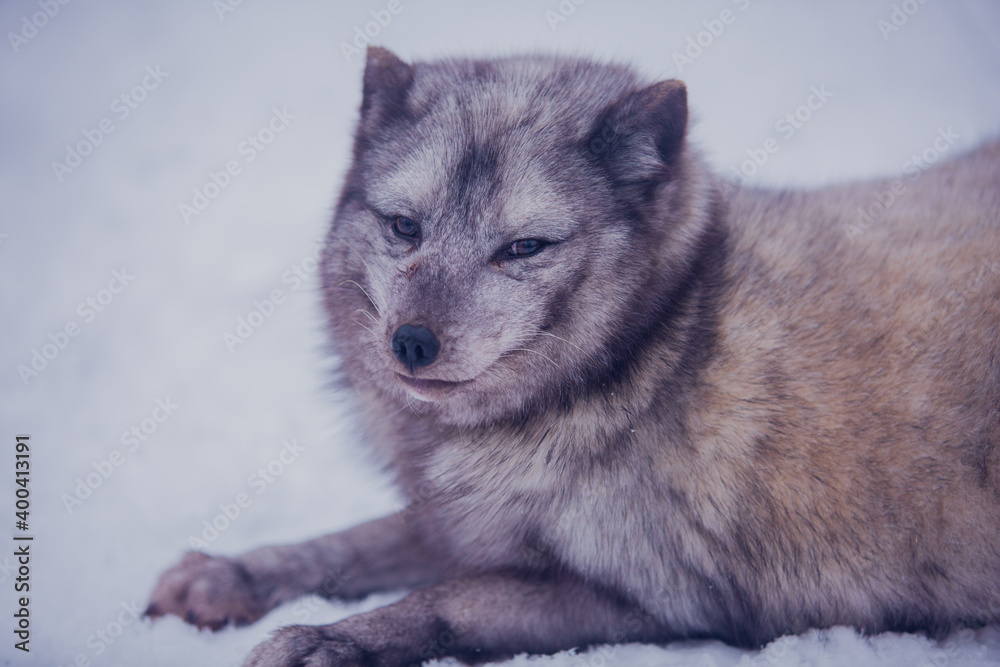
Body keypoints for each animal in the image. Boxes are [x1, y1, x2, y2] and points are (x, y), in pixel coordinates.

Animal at [146, 47, 1000, 666]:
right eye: (404, 227)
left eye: (523, 247)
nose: (411, 343)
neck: (654, 346)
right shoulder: (466, 520)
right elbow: (356, 541)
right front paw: (233, 571)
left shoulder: (663, 602)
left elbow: (450, 599)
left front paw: (331, 639)